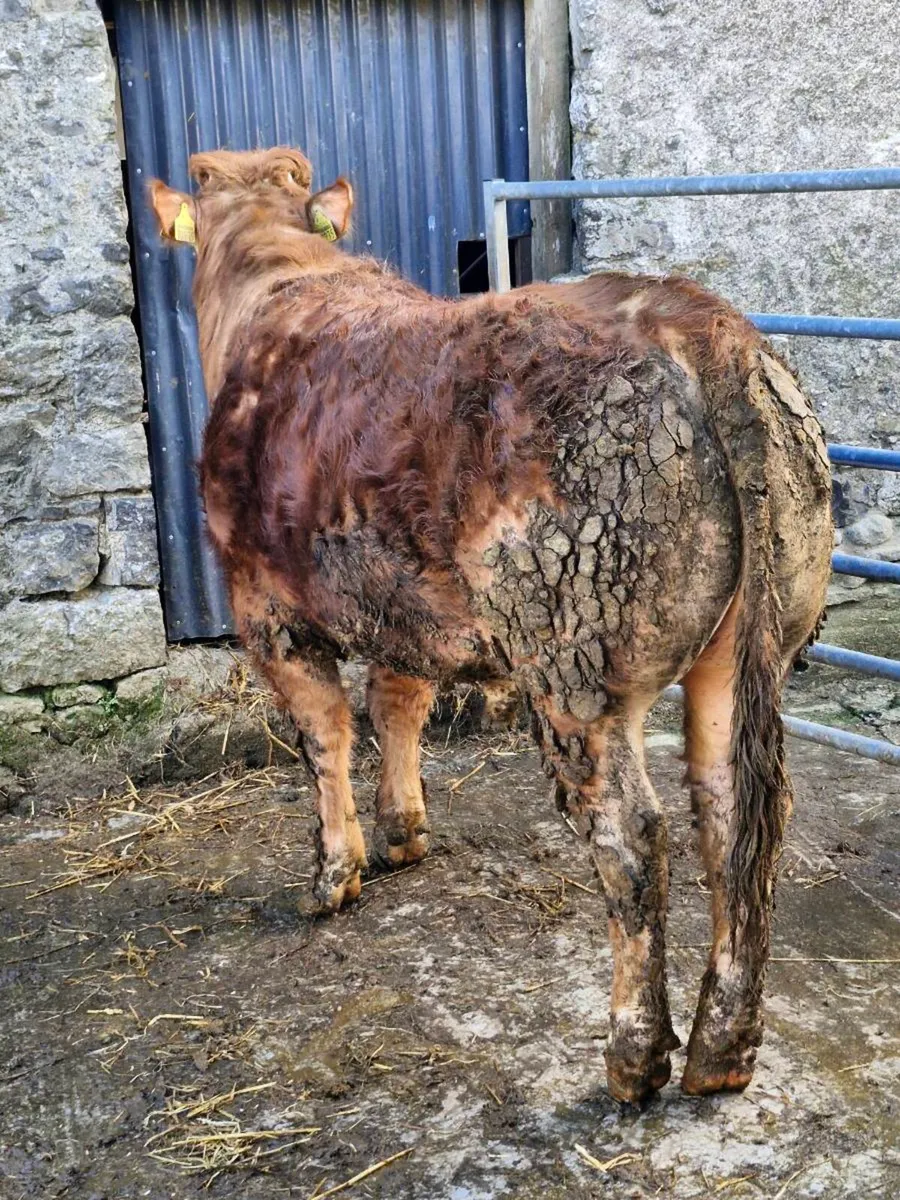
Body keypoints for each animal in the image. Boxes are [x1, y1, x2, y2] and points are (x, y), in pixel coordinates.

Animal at [149, 147, 833, 1104]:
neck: (279, 276)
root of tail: (703, 323)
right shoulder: (398, 602)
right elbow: (397, 706)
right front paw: (403, 834)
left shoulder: (265, 604)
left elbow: (325, 734)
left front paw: (332, 875)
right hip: (748, 644)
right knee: (736, 819)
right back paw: (721, 1052)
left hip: (574, 656)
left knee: (633, 838)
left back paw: (633, 1058)